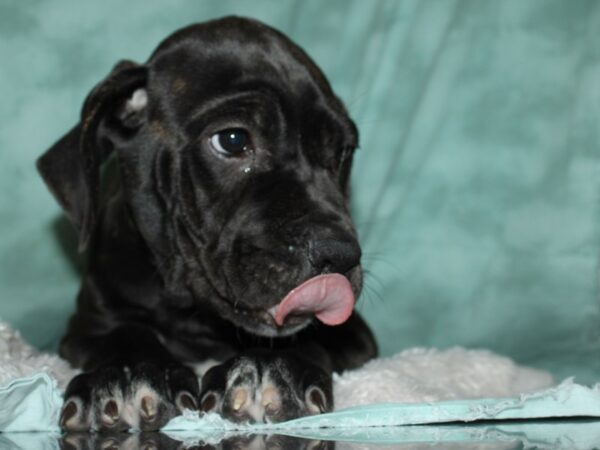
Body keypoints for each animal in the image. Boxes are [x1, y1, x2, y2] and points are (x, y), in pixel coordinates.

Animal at [37, 16, 378, 432]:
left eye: (343, 152)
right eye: (232, 140)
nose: (342, 255)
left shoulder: (354, 334)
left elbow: (301, 338)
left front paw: (266, 368)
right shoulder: (89, 323)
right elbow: (124, 332)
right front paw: (128, 375)